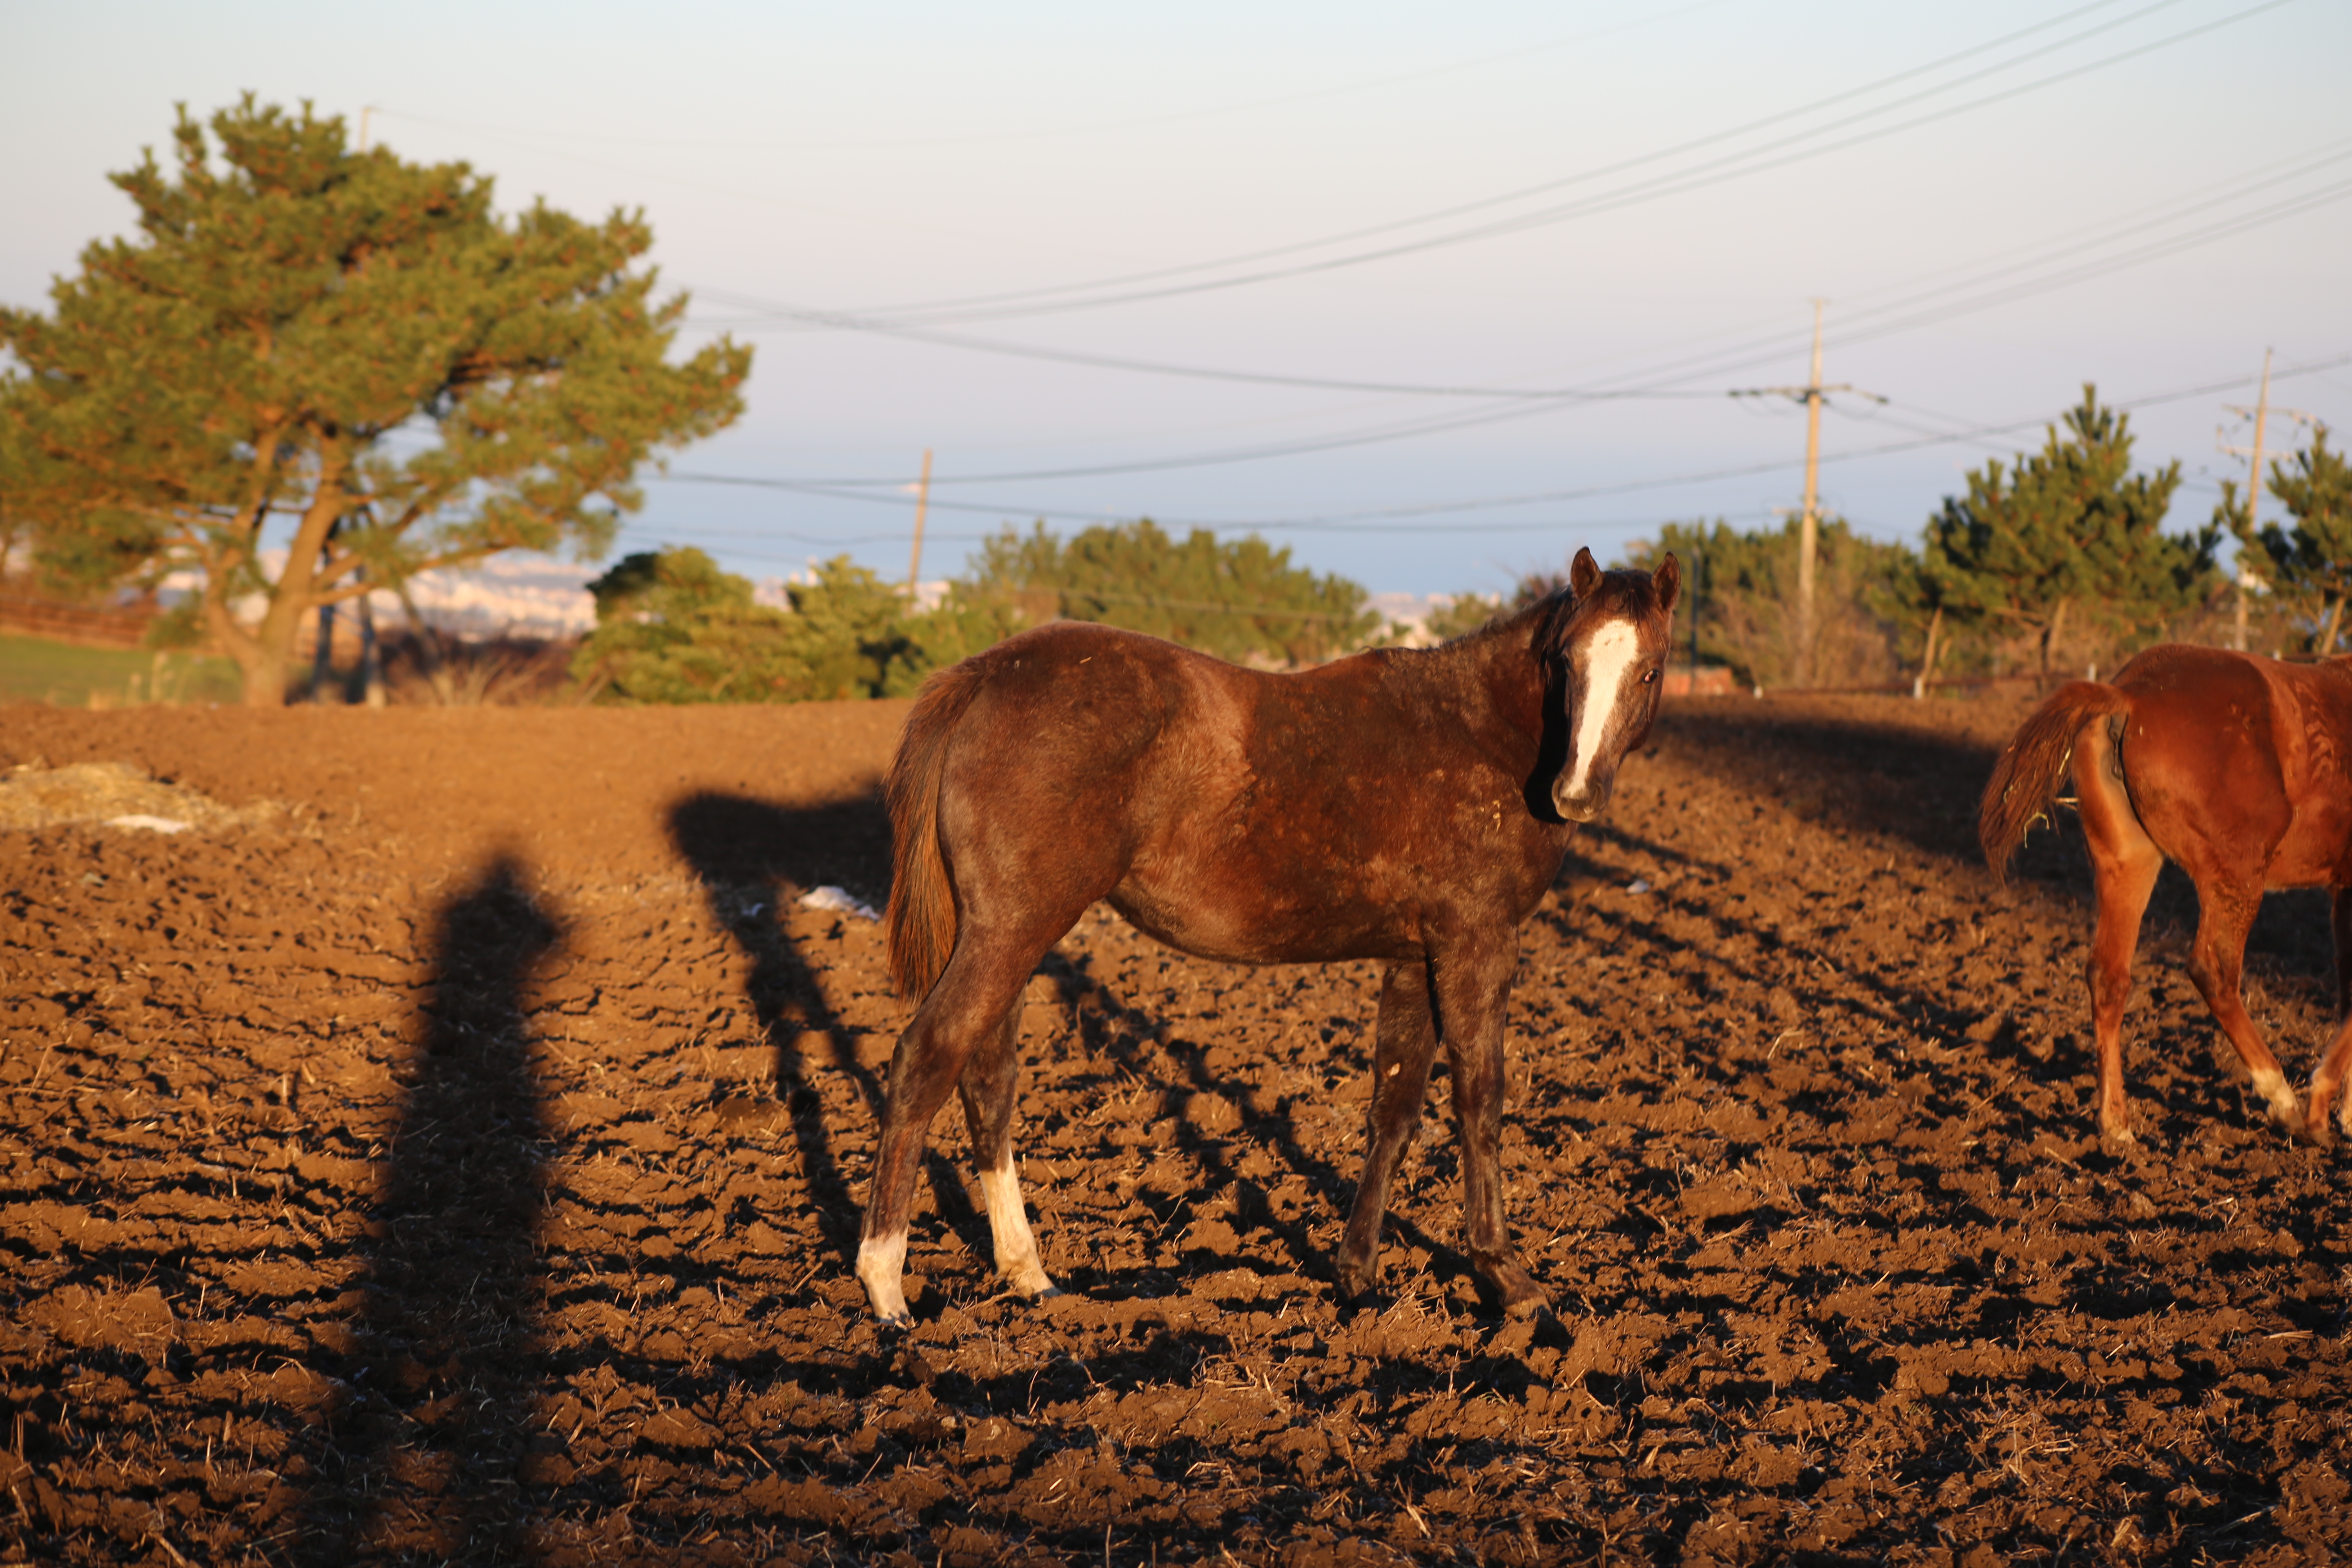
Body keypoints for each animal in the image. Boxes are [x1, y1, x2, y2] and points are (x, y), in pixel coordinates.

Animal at [856, 552, 1684, 1326]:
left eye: (1648, 668)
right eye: (1566, 662)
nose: (1575, 794)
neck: (1478, 731)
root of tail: (983, 676)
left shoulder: (1414, 958)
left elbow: (1394, 1111)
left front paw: (1356, 1275)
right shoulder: (1476, 947)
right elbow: (1479, 1103)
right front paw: (1506, 1278)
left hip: (1006, 939)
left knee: (987, 1084)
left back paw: (1027, 1273)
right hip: (1010, 933)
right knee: (925, 1061)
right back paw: (886, 1286)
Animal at [1985, 644, 2352, 1147]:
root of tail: (2129, 695)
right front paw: (2324, 1108)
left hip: (2128, 864)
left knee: (2108, 976)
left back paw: (2116, 1124)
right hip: (2236, 874)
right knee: (2213, 971)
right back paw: (2282, 1100)